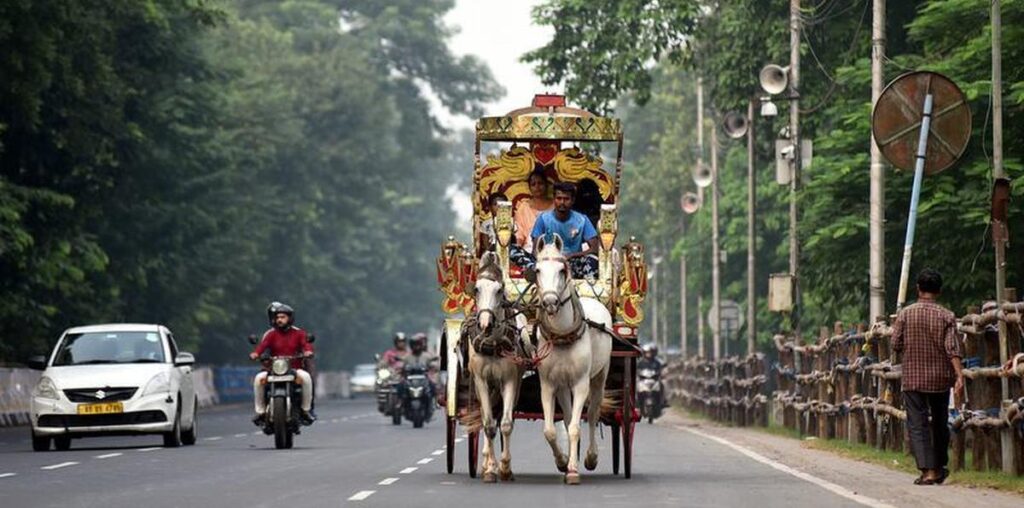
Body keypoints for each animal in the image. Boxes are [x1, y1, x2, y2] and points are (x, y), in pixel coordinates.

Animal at [464, 251, 528, 481]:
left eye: (499, 290)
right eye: (476, 289)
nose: (485, 324)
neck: (492, 344)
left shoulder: (510, 380)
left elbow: (506, 424)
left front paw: (505, 468)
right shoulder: (481, 380)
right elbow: (488, 424)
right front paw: (490, 468)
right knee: (487, 416)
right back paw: (484, 461)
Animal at [532, 235, 610, 483]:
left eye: (562, 270)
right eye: (537, 270)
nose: (550, 302)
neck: (562, 335)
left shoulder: (581, 383)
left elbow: (577, 426)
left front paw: (574, 470)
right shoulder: (548, 383)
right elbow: (550, 430)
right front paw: (563, 461)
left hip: (600, 375)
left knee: (593, 413)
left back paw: (591, 457)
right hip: (563, 385)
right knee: (567, 418)